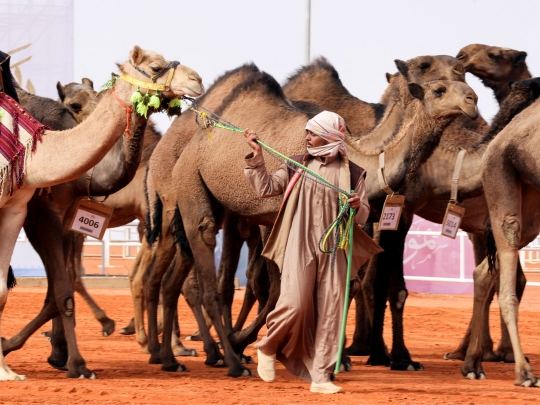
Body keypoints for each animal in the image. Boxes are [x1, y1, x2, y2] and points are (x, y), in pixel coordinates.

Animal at [0, 45, 204, 380]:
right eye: (156, 66)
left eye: (98, 95)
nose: (196, 79)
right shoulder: (45, 216)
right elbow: (63, 287)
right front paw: (77, 363)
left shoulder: (62, 217)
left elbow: (60, 286)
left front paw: (59, 357)